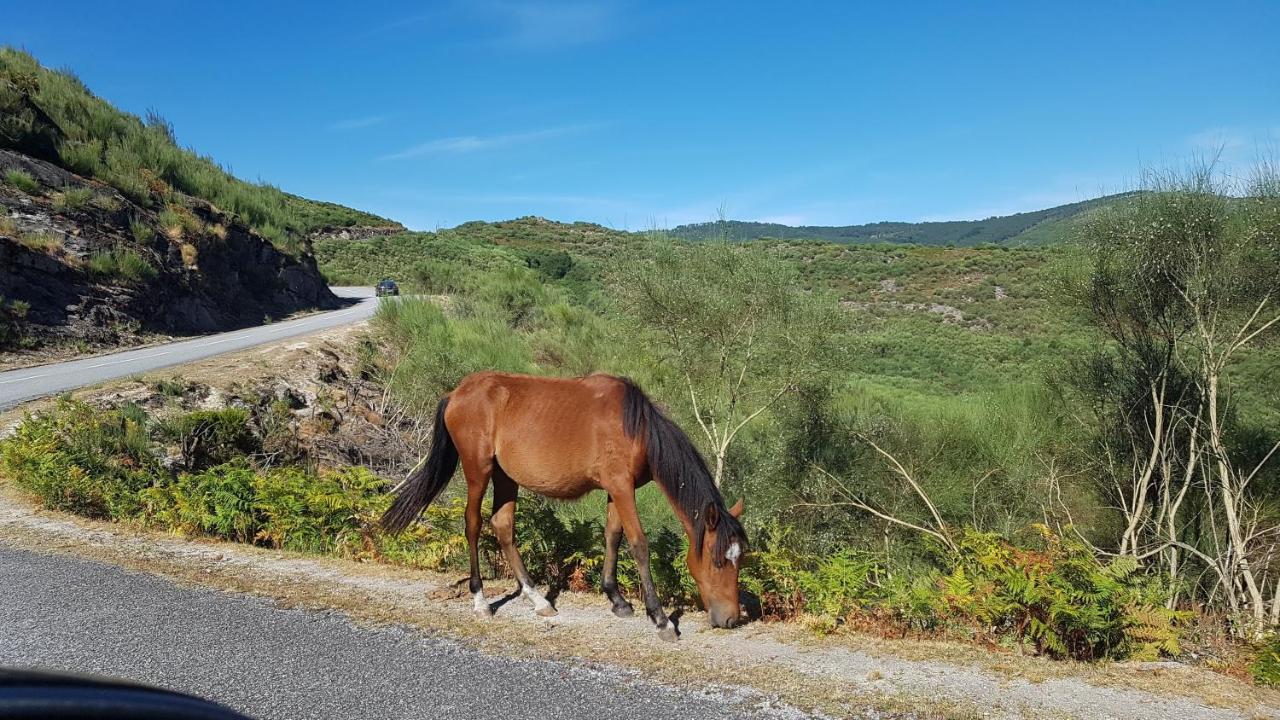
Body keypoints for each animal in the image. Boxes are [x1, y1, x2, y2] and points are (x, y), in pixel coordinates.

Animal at [378, 371, 747, 635]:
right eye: (718, 562)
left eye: (739, 560)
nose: (730, 619)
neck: (637, 428)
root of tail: (455, 394)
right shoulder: (622, 487)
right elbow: (638, 544)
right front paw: (660, 618)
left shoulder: (616, 489)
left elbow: (613, 537)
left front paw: (617, 600)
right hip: (477, 469)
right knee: (473, 524)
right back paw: (481, 601)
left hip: (504, 476)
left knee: (503, 526)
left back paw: (538, 599)